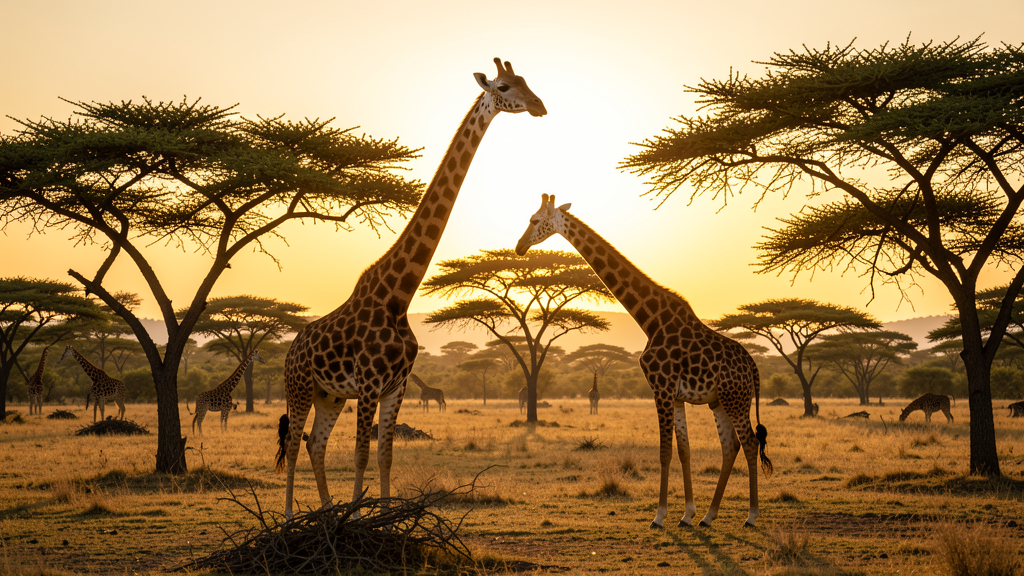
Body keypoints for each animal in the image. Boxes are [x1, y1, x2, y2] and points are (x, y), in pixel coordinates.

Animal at [275, 58, 546, 520]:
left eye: (527, 81)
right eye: (505, 86)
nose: (540, 106)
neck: (398, 297)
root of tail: (291, 349)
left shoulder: (394, 386)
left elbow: (385, 455)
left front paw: (379, 518)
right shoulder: (369, 383)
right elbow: (362, 454)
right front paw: (358, 518)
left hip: (330, 395)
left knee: (316, 446)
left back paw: (326, 515)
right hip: (301, 388)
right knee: (294, 445)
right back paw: (295, 519)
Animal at [515, 194, 772, 529]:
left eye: (534, 220)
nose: (519, 247)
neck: (651, 320)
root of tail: (753, 366)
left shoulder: (661, 388)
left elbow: (664, 452)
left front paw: (659, 516)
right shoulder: (676, 396)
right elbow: (684, 451)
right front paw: (687, 515)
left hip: (736, 399)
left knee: (750, 444)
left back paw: (751, 516)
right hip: (720, 401)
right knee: (731, 447)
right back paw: (708, 516)